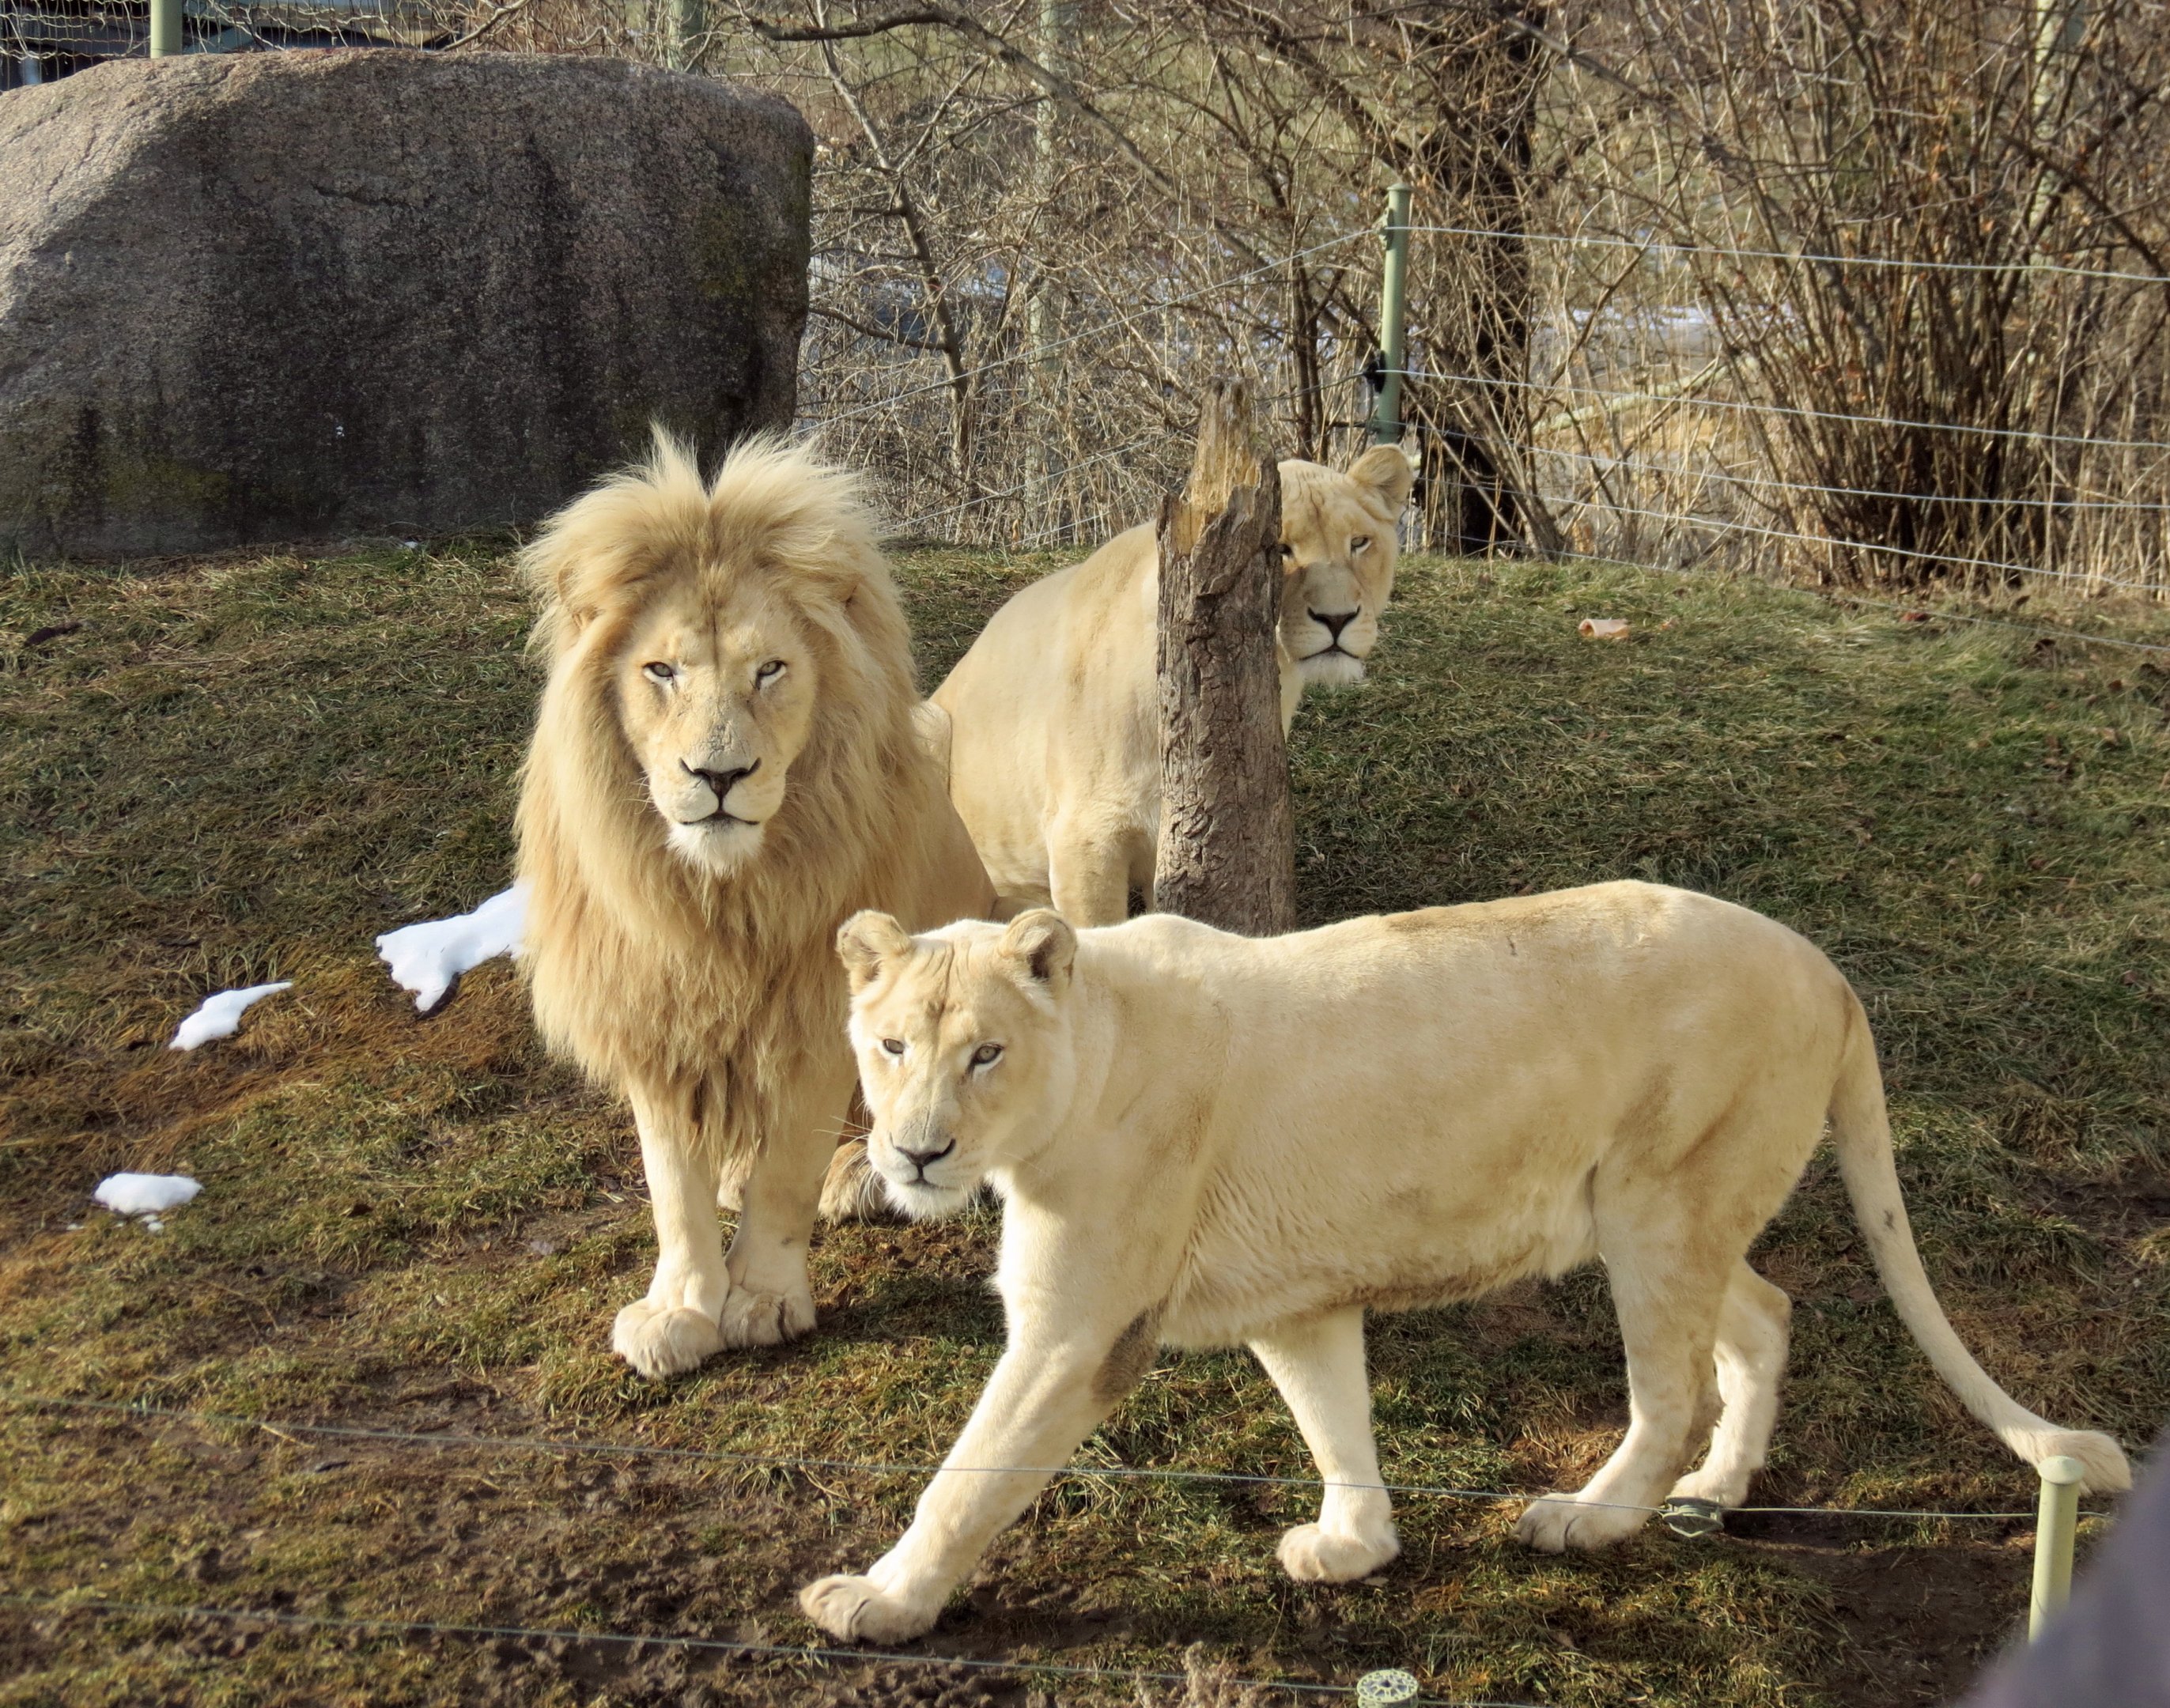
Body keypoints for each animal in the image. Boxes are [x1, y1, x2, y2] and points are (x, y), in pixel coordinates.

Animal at [514, 433, 994, 1379]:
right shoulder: (653, 1012)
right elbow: (672, 1186)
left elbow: (788, 1175)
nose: (719, 775)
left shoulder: (818, 1019)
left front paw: (764, 1301)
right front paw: (679, 1310)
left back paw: (862, 1175)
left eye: (770, 669)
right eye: (661, 671)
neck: (721, 896)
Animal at [800, 886, 2130, 1640]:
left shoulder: (1080, 1327)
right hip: (1681, 1211)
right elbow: (1332, 1416)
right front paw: (1353, 1549)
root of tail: (1828, 969)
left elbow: (971, 1473)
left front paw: (881, 1603)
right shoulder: (1295, 1298)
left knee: (1673, 1386)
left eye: (983, 1054)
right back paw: (1713, 1493)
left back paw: (1590, 1518)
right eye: (890, 1045)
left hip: (1656, 1202)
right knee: (1763, 1313)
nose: (917, 1153)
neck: (1083, 1062)